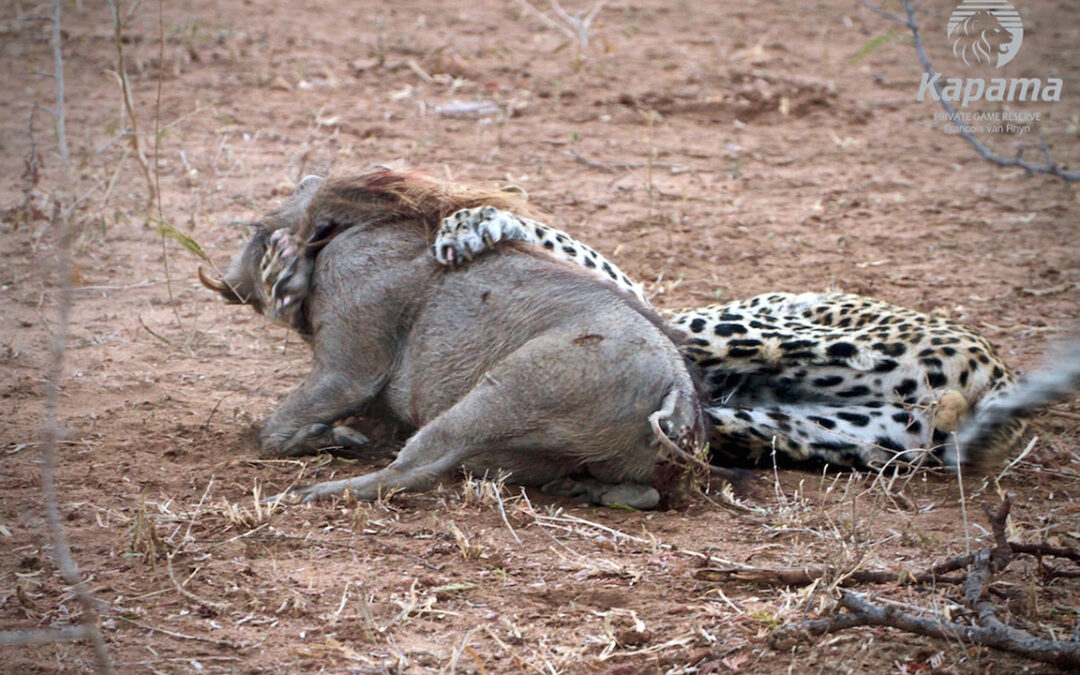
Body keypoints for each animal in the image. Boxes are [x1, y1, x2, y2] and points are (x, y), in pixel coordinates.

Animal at [258, 181, 1065, 471]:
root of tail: (994, 375)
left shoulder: (648, 300)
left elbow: (566, 238)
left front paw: (475, 220)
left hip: (729, 333)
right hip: (819, 431)